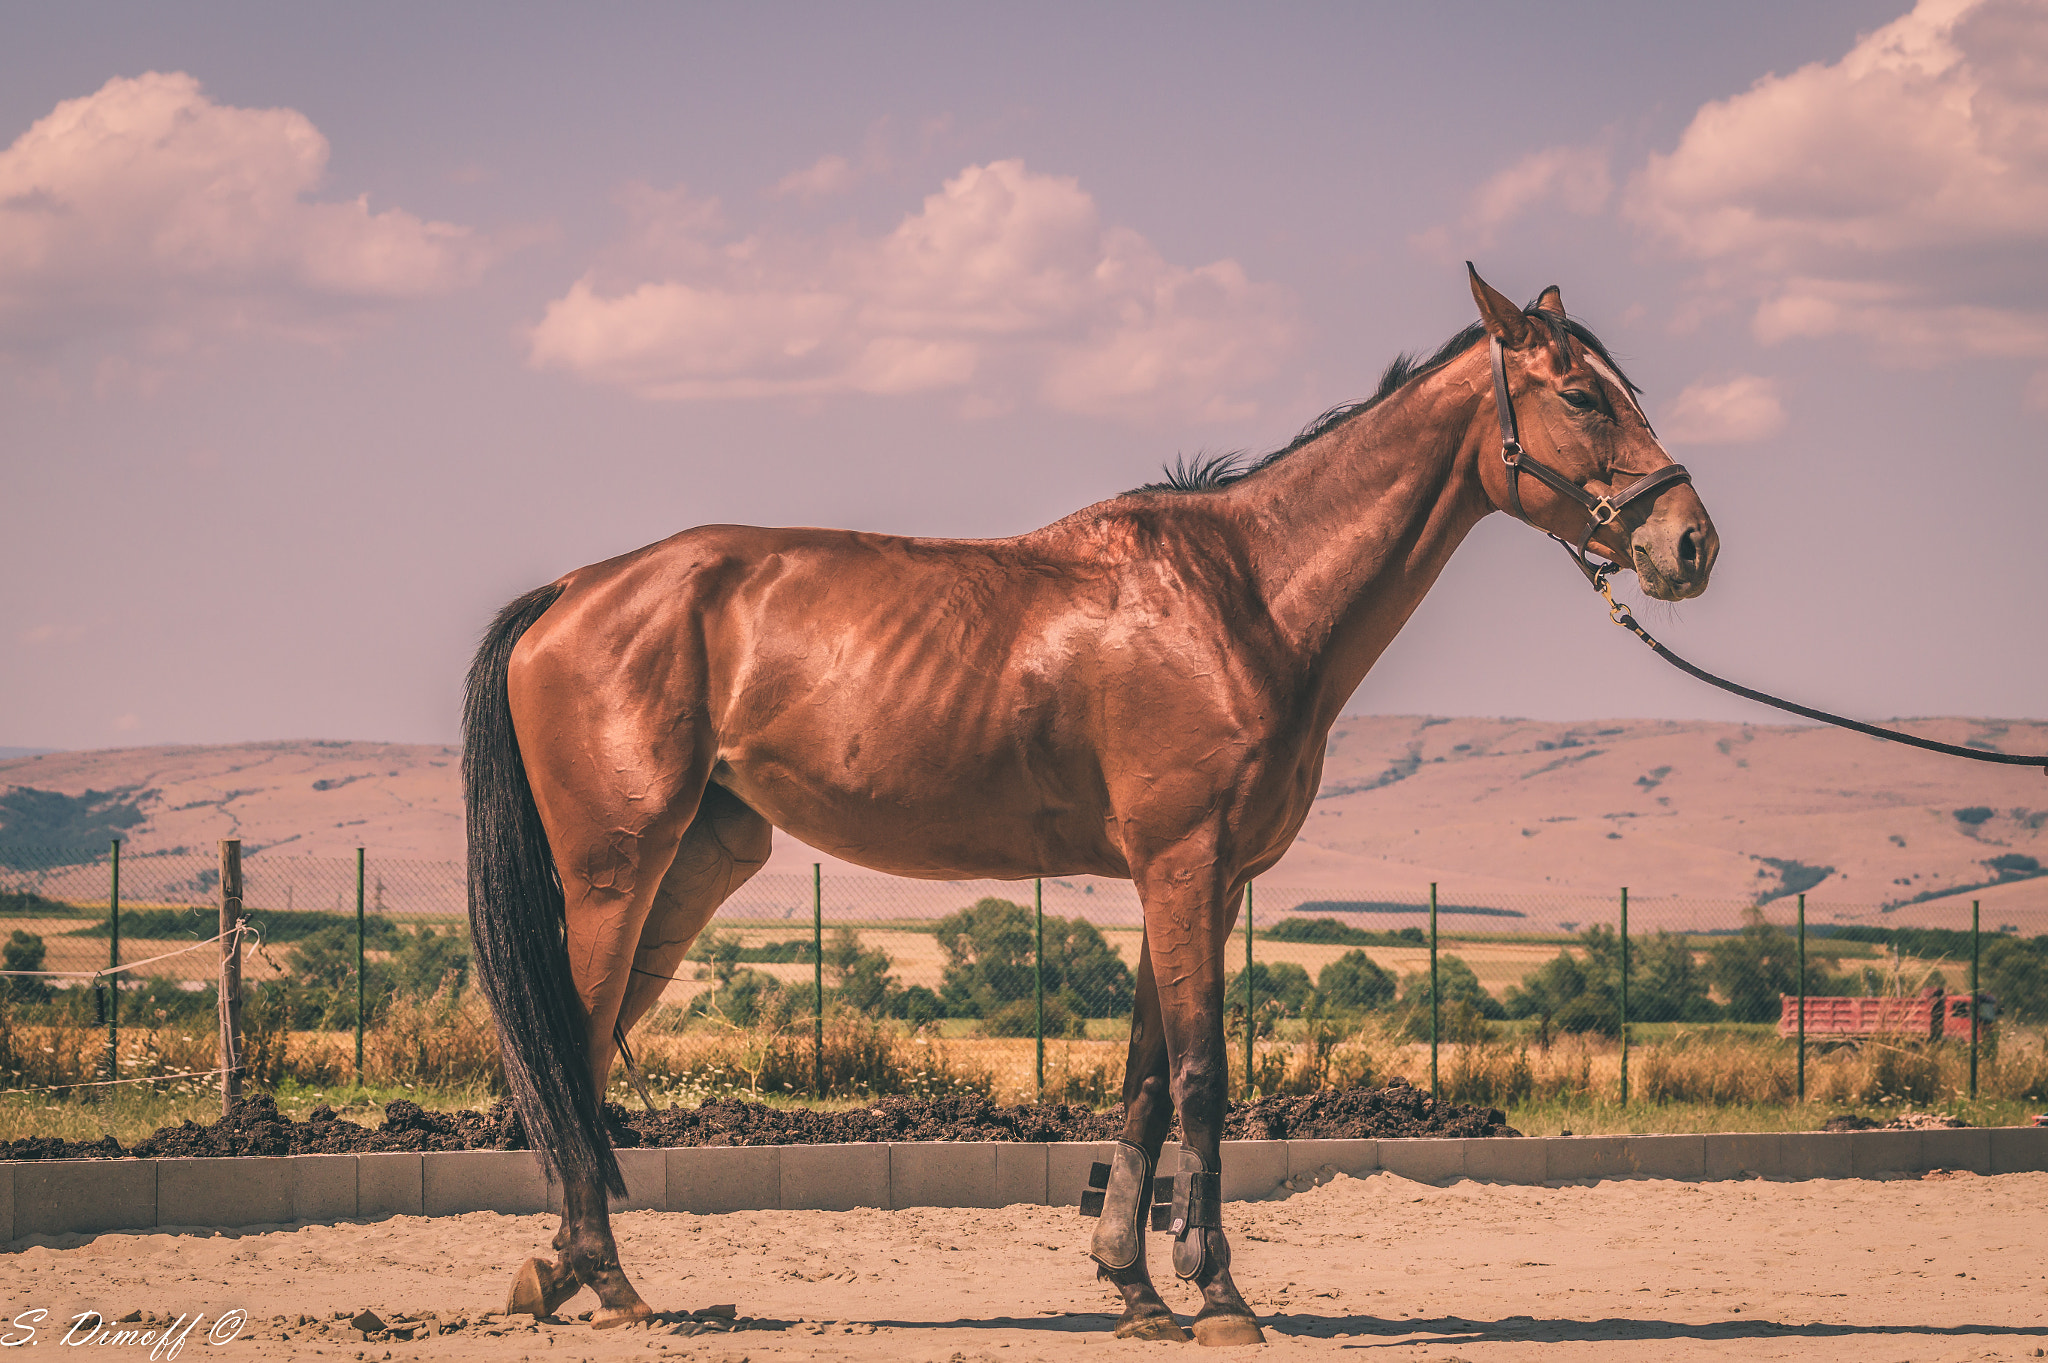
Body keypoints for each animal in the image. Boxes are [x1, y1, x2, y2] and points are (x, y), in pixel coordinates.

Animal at [460, 266, 1712, 1334]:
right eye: (1581, 395)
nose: (1688, 542)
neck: (1244, 593)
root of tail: (573, 589)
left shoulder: (1198, 881)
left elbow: (1146, 1083)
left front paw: (1135, 1286)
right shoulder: (1182, 866)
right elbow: (1202, 1076)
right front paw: (1218, 1295)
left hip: (696, 865)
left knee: (581, 1052)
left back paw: (568, 1271)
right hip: (617, 870)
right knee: (569, 1045)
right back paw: (604, 1280)